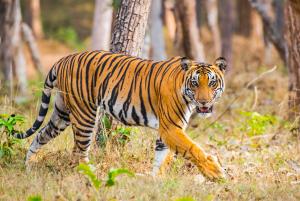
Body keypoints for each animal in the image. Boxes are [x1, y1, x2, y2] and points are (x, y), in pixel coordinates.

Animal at [12, 51, 226, 180]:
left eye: (212, 83)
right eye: (195, 83)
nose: (204, 102)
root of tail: (62, 59)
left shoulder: (168, 131)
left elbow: (161, 157)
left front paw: (155, 181)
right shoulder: (171, 128)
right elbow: (193, 149)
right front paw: (216, 172)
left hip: (61, 113)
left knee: (41, 135)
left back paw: (28, 166)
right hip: (85, 114)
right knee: (78, 152)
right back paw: (93, 175)